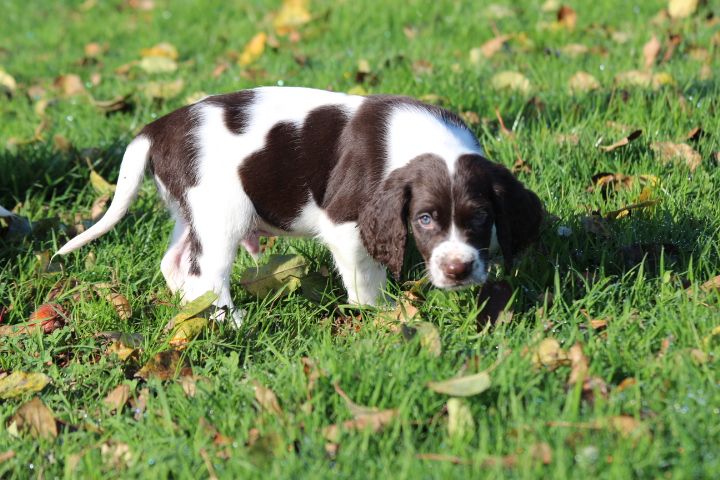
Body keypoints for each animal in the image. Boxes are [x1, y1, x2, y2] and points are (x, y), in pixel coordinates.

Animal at [57, 87, 543, 324]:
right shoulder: (346, 225)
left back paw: (188, 310)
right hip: (222, 214)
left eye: (481, 218)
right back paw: (229, 322)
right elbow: (366, 281)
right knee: (205, 273)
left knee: (175, 263)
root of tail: (156, 128)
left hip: (191, 209)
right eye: (424, 219)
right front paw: (384, 316)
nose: (458, 271)